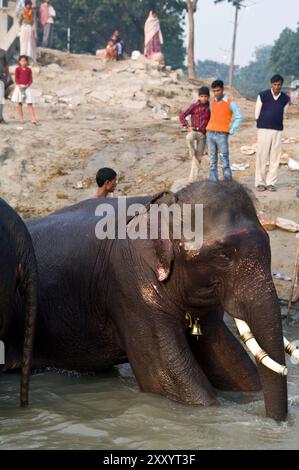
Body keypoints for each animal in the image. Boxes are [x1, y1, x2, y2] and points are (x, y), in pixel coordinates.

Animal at [22, 181, 296, 422]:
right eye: (223, 255)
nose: (276, 423)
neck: (166, 205)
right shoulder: (131, 286)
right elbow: (168, 380)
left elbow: (233, 365)